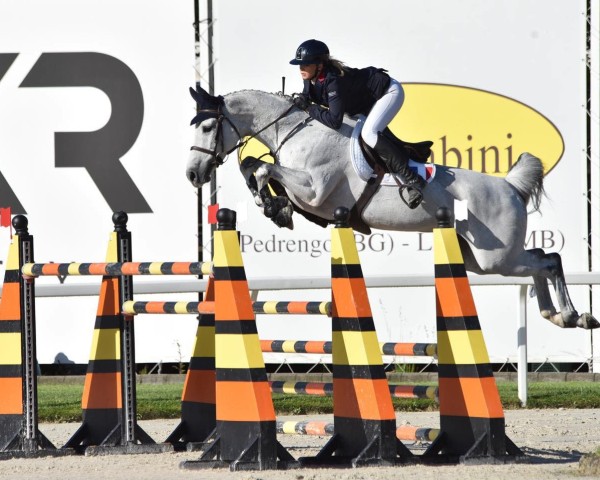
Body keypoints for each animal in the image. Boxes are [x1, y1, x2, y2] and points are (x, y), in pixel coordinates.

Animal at [186, 87, 596, 330]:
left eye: (206, 127)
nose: (193, 174)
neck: (295, 131)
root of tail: (510, 186)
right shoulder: (310, 197)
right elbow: (253, 165)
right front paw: (273, 205)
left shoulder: (315, 190)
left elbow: (262, 168)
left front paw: (271, 203)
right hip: (482, 259)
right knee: (541, 258)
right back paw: (558, 315)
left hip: (495, 257)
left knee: (548, 260)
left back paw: (574, 314)